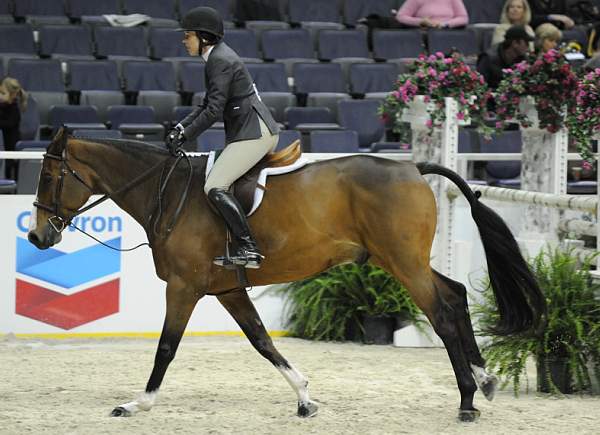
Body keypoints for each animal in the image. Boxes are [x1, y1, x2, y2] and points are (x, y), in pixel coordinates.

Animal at [27, 129, 544, 422]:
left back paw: (467, 401)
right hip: (399, 259)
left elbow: (166, 349)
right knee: (454, 296)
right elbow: (262, 341)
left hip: (402, 262)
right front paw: (304, 398)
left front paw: (137, 404)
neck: (168, 193)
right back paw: (484, 381)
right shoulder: (228, 290)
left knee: (441, 311)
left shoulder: (185, 288)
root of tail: (413, 167)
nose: (37, 237)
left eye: (49, 178)